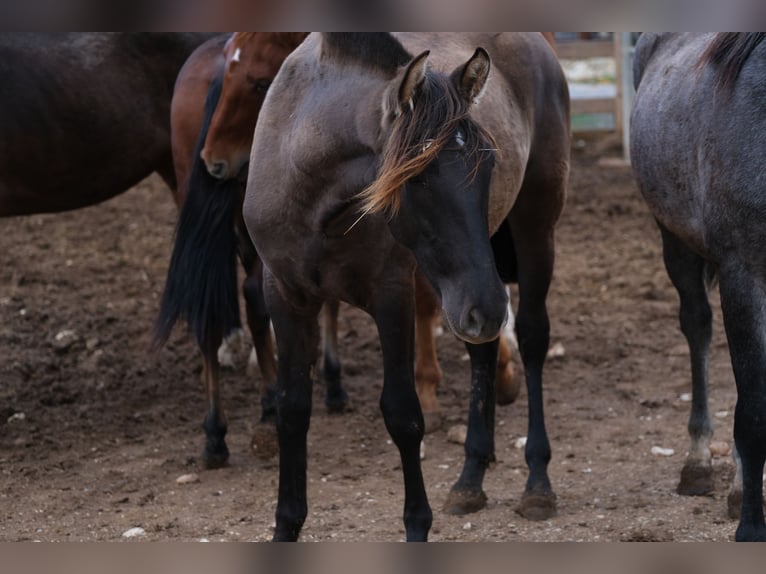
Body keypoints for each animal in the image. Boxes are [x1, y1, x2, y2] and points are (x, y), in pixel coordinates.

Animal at [244, 33, 569, 541]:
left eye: (489, 163)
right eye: (417, 175)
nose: (490, 307)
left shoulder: (391, 296)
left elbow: (402, 413)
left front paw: (417, 525)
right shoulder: (286, 295)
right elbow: (292, 411)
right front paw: (286, 526)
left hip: (530, 235)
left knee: (533, 338)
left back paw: (537, 483)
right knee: (483, 352)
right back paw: (470, 478)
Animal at [631, 32, 766, 541]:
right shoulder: (742, 272)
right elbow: (753, 410)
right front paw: (751, 526)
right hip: (675, 242)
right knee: (699, 329)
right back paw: (700, 464)